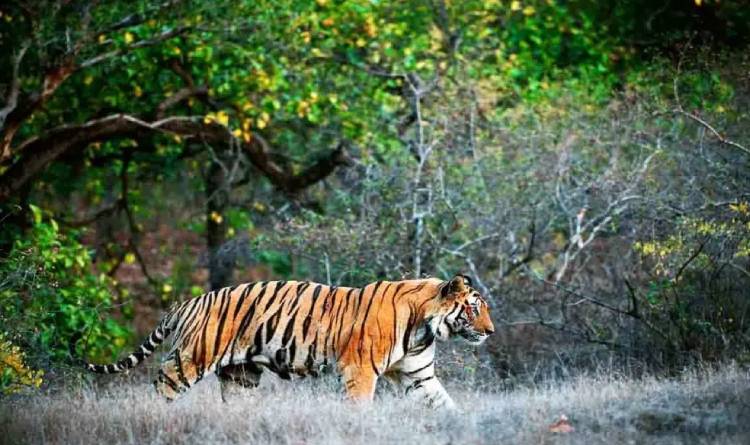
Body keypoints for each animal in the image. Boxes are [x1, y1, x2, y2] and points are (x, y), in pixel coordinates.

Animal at [81, 272, 494, 408]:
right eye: (475, 308)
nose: (491, 331)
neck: (424, 327)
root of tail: (187, 302)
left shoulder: (418, 376)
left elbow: (445, 405)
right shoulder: (359, 370)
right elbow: (359, 407)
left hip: (241, 375)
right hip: (191, 358)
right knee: (161, 387)